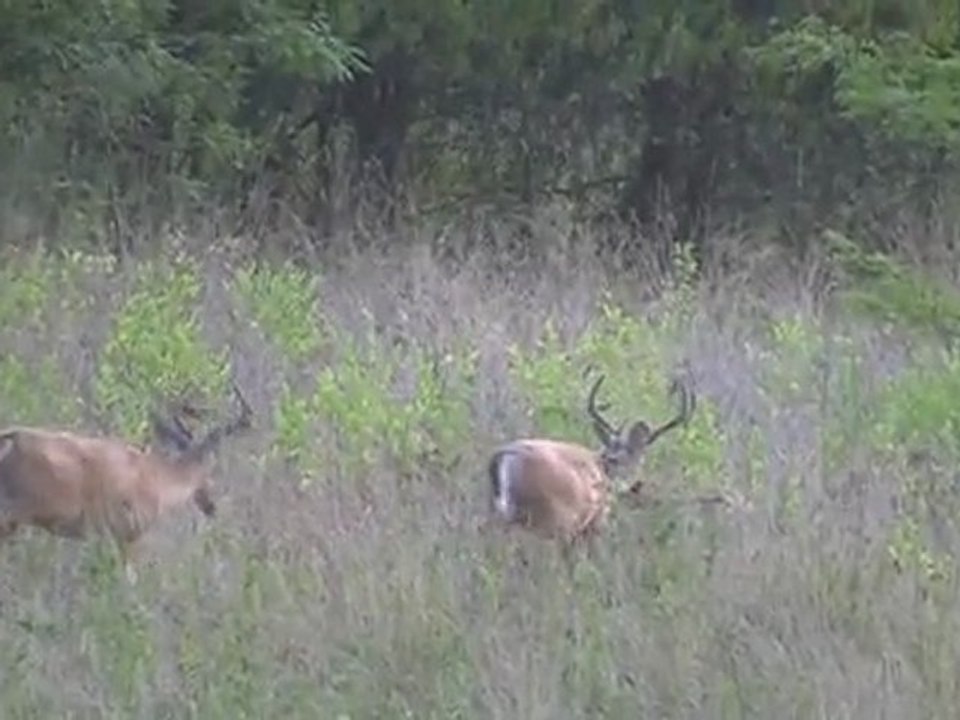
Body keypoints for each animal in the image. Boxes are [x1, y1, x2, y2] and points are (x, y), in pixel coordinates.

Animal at [0, 382, 253, 582]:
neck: (157, 478)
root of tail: (9, 438)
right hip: (13, 510)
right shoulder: (127, 534)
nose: (211, 506)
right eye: (212, 468)